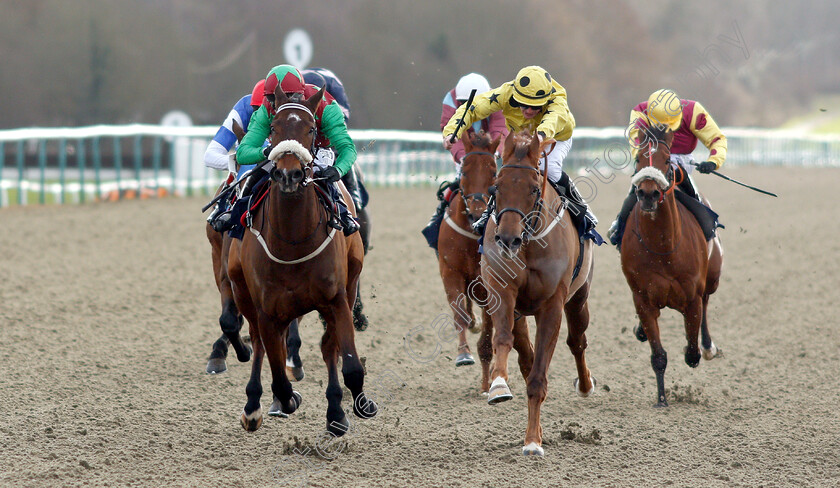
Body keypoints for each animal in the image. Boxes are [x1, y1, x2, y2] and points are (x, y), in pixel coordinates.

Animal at [226, 86, 378, 432]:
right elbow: (279, 377)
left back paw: (335, 408)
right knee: (258, 343)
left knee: (328, 347)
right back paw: (253, 405)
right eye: (272, 128)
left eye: (310, 129)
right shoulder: (268, 311)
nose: (289, 174)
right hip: (243, 293)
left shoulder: (336, 299)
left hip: (348, 285)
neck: (292, 240)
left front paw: (354, 407)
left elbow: (349, 364)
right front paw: (285, 399)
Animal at [434, 130, 498, 366]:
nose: (478, 212)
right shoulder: (450, 270)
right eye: (464, 172)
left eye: (493, 172)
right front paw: (463, 353)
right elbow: (460, 312)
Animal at [480, 130, 596, 458]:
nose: (507, 239)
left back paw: (585, 385)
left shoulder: (552, 306)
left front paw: (532, 441)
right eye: (496, 186)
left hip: (579, 298)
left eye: (534, 189)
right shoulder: (501, 290)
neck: (529, 243)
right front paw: (498, 386)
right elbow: (503, 340)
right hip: (519, 310)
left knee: (577, 341)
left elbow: (539, 377)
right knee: (524, 354)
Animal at [620, 126, 724, 408]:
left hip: (713, 278)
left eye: (667, 160)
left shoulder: (691, 296)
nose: (648, 193)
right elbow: (658, 355)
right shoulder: (643, 299)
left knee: (707, 304)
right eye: (638, 159)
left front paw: (699, 350)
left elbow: (691, 352)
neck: (663, 248)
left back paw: (709, 347)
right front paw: (661, 399)